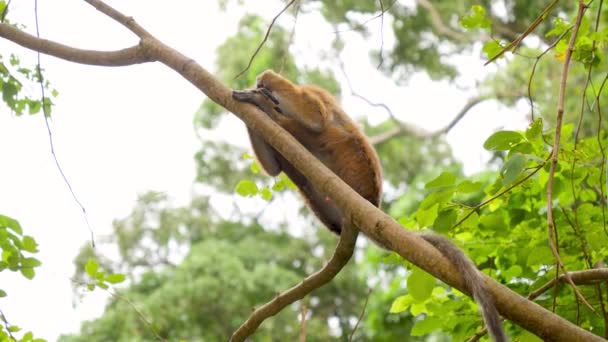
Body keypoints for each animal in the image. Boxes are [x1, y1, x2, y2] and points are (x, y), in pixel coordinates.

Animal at [230, 69, 506, 342]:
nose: (263, 91)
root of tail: (370, 201)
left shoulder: (314, 93)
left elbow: (316, 117)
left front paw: (264, 89)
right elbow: (273, 168)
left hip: (353, 164)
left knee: (321, 129)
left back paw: (270, 110)